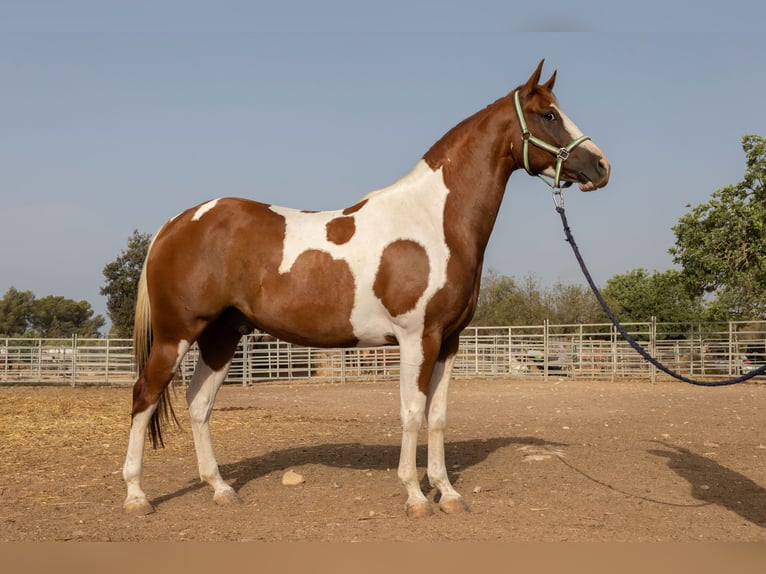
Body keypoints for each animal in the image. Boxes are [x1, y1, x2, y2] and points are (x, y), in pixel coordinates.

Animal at [122, 60, 610, 518]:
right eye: (549, 115)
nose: (602, 166)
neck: (432, 219)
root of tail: (176, 224)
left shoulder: (448, 340)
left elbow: (438, 417)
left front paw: (447, 493)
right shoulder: (417, 338)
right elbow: (412, 413)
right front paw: (415, 495)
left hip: (221, 336)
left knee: (198, 403)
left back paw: (220, 488)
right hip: (176, 335)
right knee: (144, 396)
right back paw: (136, 495)